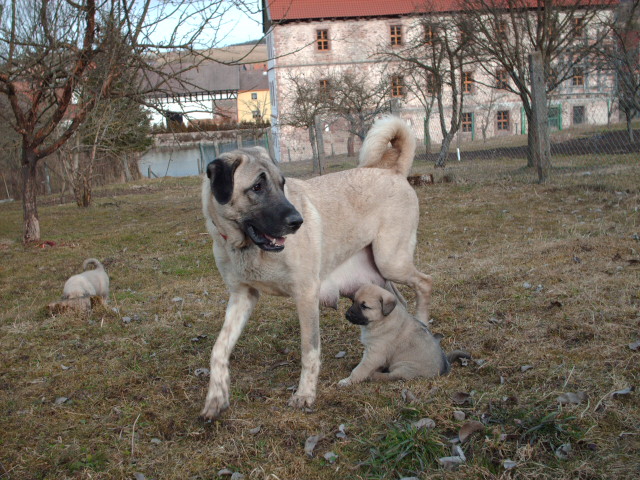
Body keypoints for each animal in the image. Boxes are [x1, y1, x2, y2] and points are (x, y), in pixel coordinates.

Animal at [200, 116, 430, 420]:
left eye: (281, 184)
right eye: (257, 187)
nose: (297, 222)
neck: (246, 247)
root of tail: (392, 171)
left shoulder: (306, 294)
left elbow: (309, 350)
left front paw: (305, 394)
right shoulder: (242, 296)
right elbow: (218, 349)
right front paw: (216, 397)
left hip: (392, 261)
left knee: (425, 283)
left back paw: (424, 324)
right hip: (381, 277)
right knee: (399, 305)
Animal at [338, 284, 468, 386]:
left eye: (364, 306)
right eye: (353, 301)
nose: (346, 315)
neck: (382, 320)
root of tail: (445, 368)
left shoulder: (374, 353)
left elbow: (360, 370)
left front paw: (347, 381)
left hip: (404, 367)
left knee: (392, 376)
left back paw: (374, 375)